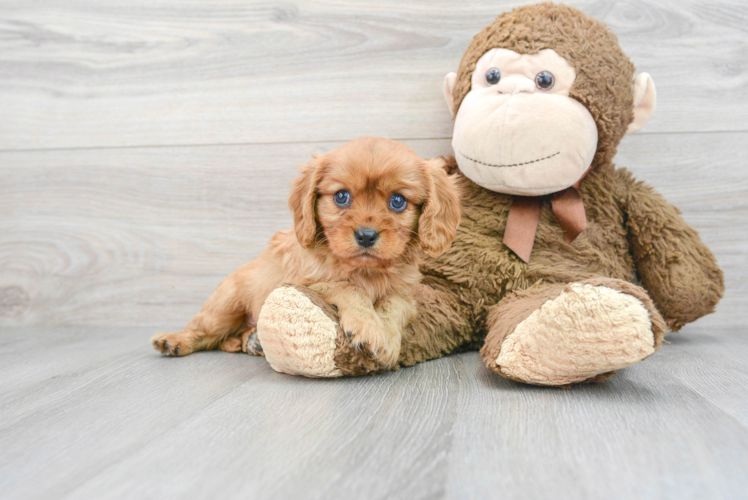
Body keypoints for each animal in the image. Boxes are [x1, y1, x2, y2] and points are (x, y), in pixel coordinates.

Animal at [152, 138, 458, 368]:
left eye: (397, 201)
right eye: (341, 196)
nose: (366, 235)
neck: (364, 270)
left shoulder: (406, 296)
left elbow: (393, 304)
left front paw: (389, 339)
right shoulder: (305, 283)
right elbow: (348, 288)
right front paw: (368, 327)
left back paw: (252, 340)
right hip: (224, 307)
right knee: (203, 332)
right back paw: (174, 341)